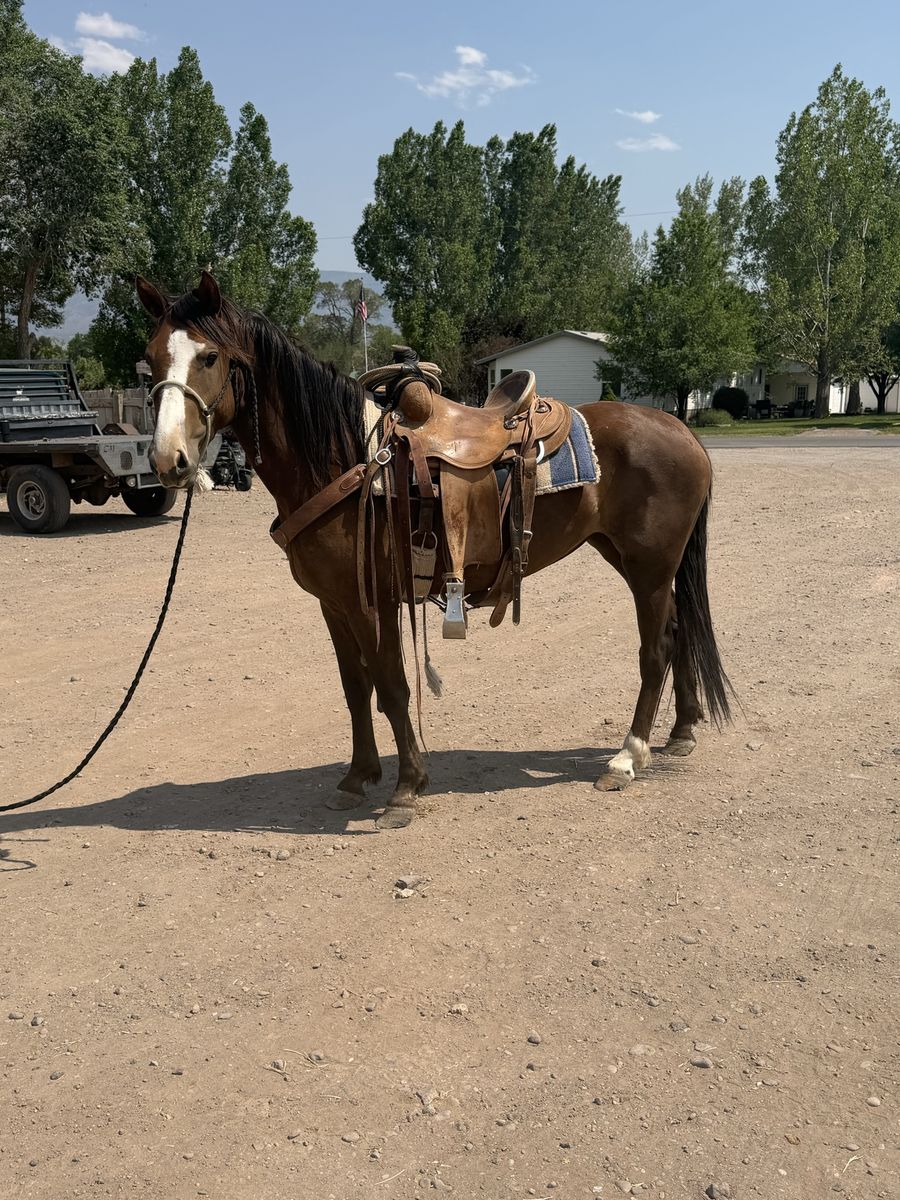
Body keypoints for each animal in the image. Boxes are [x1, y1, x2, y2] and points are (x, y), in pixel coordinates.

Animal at [137, 271, 732, 830]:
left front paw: (406, 788)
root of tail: (682, 429)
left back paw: (627, 758)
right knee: (680, 629)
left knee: (656, 648)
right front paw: (357, 778)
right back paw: (680, 733)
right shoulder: (334, 604)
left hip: (649, 565)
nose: (170, 460)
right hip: (634, 560)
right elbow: (355, 688)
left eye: (210, 356)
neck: (344, 460)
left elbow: (392, 687)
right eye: (149, 359)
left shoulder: (372, 602)